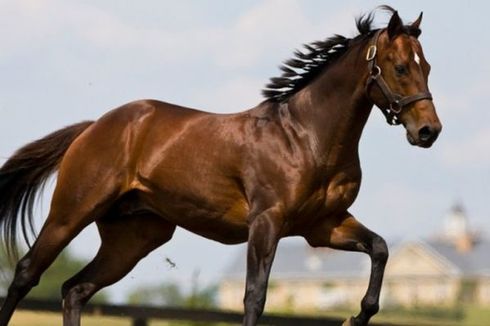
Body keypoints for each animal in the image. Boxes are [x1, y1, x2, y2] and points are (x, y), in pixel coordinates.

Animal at [0, 5, 440, 326]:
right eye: (401, 67)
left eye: (428, 66)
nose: (429, 131)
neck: (306, 137)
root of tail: (93, 128)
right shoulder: (267, 222)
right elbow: (254, 297)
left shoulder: (323, 225)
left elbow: (379, 249)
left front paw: (356, 317)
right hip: (71, 212)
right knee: (26, 273)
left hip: (134, 238)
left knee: (75, 289)